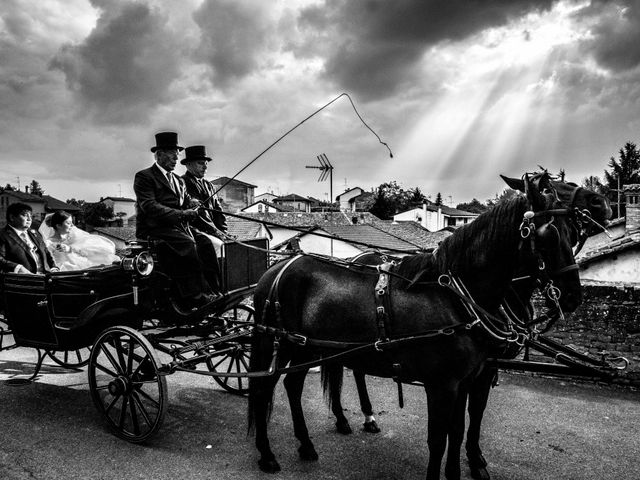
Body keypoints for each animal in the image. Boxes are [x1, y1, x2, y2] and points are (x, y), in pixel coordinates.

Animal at [248, 176, 584, 480]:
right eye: (549, 234)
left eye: (573, 233)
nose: (573, 296)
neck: (455, 297)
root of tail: (276, 269)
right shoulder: (442, 384)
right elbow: (438, 440)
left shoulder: (465, 379)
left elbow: (457, 431)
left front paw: (458, 470)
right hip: (281, 343)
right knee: (264, 388)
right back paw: (266, 454)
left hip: (306, 346)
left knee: (293, 385)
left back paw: (307, 444)